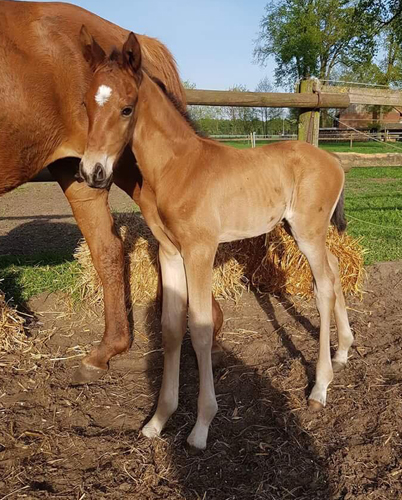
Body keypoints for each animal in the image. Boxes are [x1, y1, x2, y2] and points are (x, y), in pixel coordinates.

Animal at [0, 0, 225, 382]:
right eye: (86, 106)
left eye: (126, 108)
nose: (93, 169)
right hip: (77, 171)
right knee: (109, 248)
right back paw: (108, 350)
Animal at [80, 33, 354, 452]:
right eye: (85, 105)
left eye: (126, 108)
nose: (92, 172)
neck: (179, 167)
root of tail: (334, 159)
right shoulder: (170, 251)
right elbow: (171, 327)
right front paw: (158, 420)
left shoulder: (200, 251)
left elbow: (201, 328)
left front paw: (201, 426)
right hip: (302, 231)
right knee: (336, 270)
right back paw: (342, 351)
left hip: (308, 230)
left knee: (323, 285)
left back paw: (320, 387)